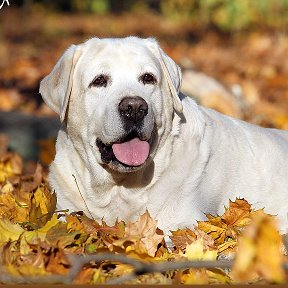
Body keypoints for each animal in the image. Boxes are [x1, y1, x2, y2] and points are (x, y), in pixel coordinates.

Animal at [39, 36, 286, 234]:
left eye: (148, 78)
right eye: (99, 81)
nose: (134, 107)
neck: (120, 188)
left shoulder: (183, 222)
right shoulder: (64, 207)